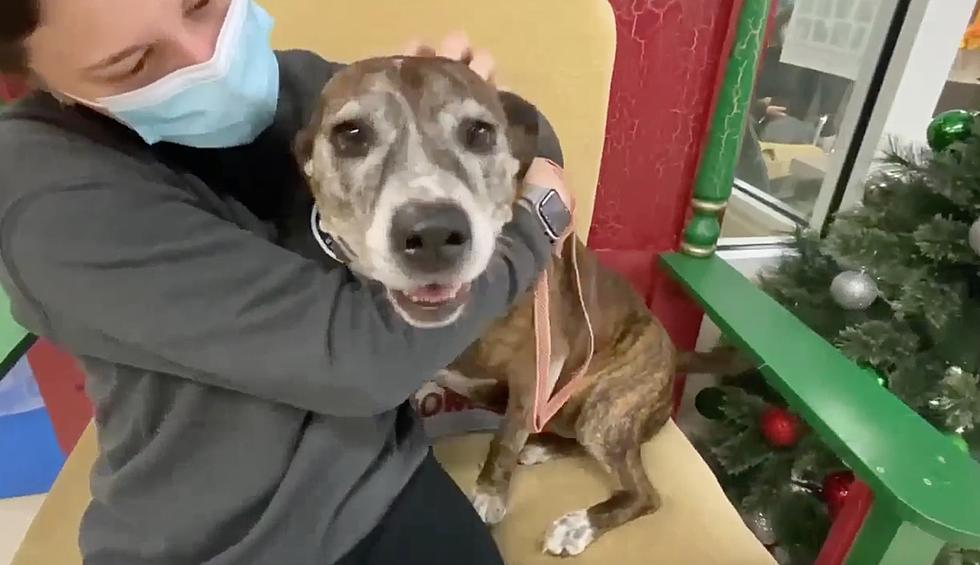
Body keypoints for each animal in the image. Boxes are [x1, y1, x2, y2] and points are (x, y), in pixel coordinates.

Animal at [290, 56, 736, 556]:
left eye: (479, 133)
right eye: (351, 135)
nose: (433, 233)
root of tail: (674, 352)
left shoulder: (534, 371)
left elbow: (503, 440)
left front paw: (489, 495)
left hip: (606, 412)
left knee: (643, 491)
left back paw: (579, 523)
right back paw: (544, 448)